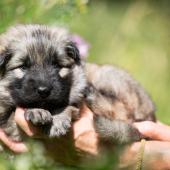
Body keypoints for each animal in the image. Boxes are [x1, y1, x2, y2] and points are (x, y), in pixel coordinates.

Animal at [0, 23, 155, 147]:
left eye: (57, 65)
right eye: (23, 67)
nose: (44, 90)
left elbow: (68, 104)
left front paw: (57, 120)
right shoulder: (8, 123)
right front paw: (38, 111)